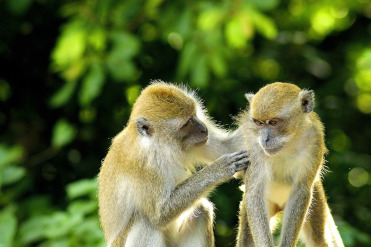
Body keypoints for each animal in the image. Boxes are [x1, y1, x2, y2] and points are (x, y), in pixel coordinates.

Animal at [98, 81, 250, 247]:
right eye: (186, 123)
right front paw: (220, 168)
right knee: (145, 222)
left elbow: (226, 146)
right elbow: (160, 214)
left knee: (201, 210)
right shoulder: (143, 164)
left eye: (194, 115)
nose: (204, 129)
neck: (159, 145)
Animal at [235, 83, 346, 247]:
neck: (289, 142)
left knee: (320, 240)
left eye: (274, 122)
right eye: (259, 123)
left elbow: (301, 190)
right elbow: (254, 193)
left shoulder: (315, 140)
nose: (265, 139)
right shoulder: (254, 145)